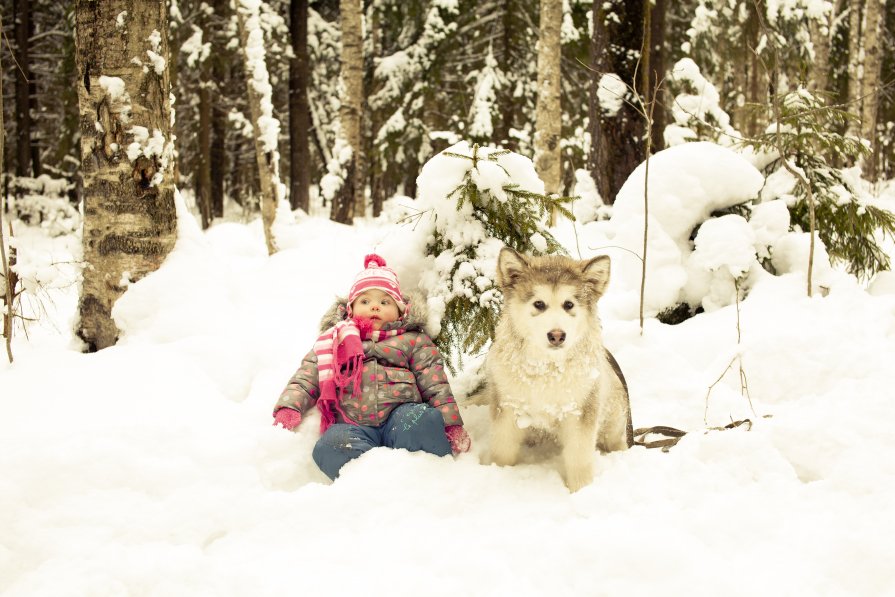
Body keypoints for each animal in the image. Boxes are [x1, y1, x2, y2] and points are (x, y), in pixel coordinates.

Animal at [480, 246, 632, 488]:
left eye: (568, 304)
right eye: (539, 304)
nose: (557, 335)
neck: (546, 368)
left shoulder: (580, 414)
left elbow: (579, 461)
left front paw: (581, 490)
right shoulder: (507, 408)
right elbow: (502, 452)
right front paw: (499, 473)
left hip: (614, 418)